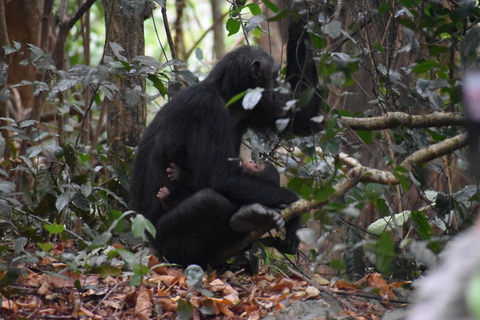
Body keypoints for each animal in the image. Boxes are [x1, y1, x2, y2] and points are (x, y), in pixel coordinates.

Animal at [129, 11, 320, 268]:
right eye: (274, 75)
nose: (280, 87)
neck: (227, 95)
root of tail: (152, 249)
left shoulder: (256, 108)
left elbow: (303, 117)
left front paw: (300, 21)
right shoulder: (206, 108)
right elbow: (218, 177)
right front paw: (292, 202)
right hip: (168, 247)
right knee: (208, 201)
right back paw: (248, 220)